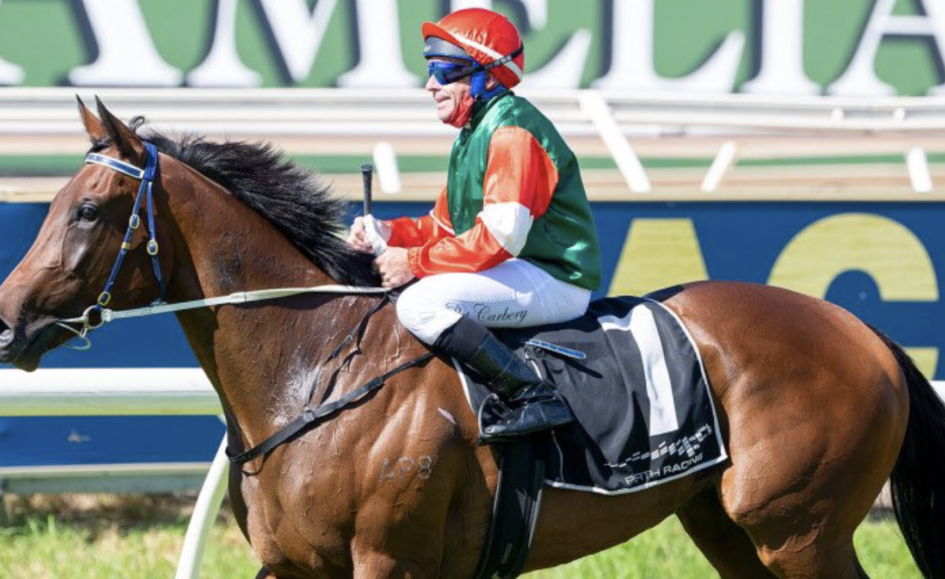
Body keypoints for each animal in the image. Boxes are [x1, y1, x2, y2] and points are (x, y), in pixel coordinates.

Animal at [0, 98, 943, 579]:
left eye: (88, 210)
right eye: (51, 204)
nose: (7, 319)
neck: (314, 370)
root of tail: (863, 330)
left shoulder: (388, 561)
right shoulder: (289, 564)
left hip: (797, 527)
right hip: (727, 525)